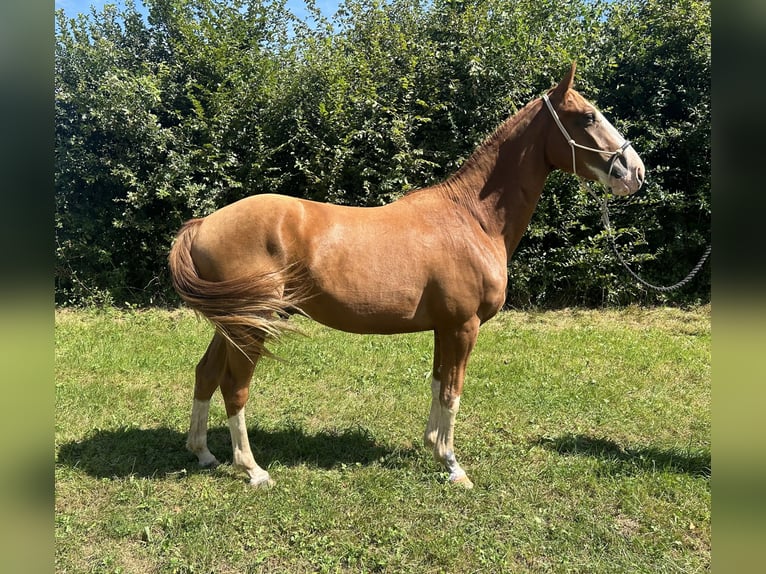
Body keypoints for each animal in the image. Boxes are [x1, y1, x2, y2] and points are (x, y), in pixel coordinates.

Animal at [170, 64, 648, 490]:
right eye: (588, 116)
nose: (636, 172)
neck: (471, 218)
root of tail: (204, 223)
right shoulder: (464, 326)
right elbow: (453, 391)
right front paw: (453, 466)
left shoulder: (445, 327)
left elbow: (438, 384)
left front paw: (432, 447)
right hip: (252, 326)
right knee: (235, 387)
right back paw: (252, 470)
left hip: (234, 324)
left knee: (206, 374)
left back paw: (204, 453)